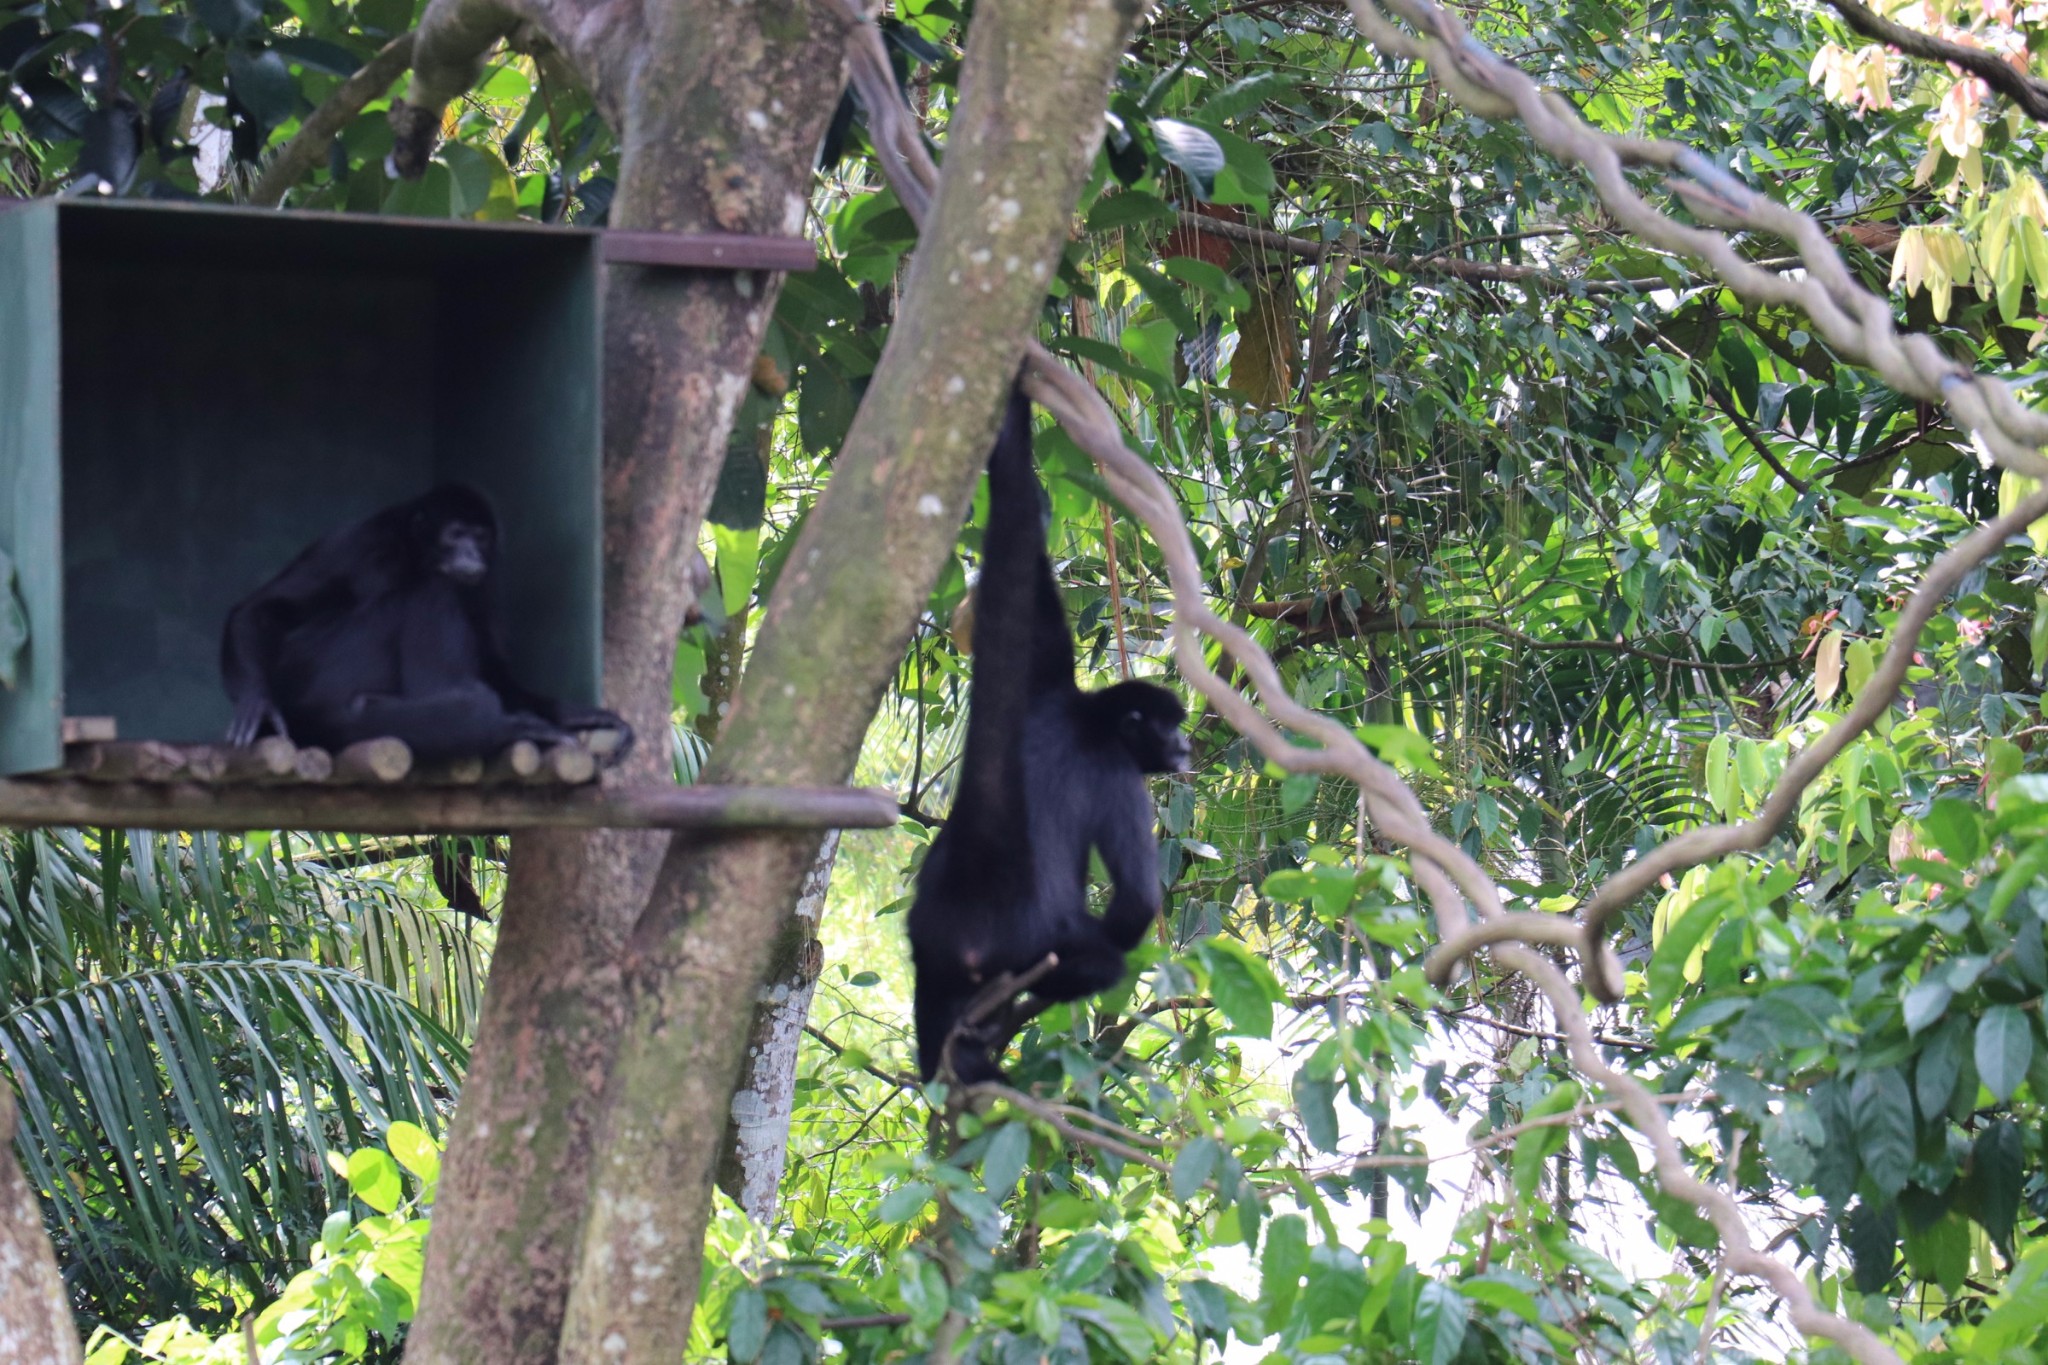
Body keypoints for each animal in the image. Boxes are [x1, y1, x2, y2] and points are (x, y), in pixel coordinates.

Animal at [216, 482, 630, 765]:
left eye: (481, 537)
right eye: (455, 535)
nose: (470, 554)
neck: (414, 553)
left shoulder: (486, 578)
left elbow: (495, 667)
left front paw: (582, 715)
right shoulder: (356, 539)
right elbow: (261, 608)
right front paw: (258, 703)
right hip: (314, 669)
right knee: (430, 591)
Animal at [909, 378, 1196, 1080]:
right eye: (1168, 727)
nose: (1185, 745)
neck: (1085, 715)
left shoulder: (1044, 675)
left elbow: (1019, 533)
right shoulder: (1118, 775)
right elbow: (1135, 902)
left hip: (931, 933)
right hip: (1033, 943)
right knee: (1093, 959)